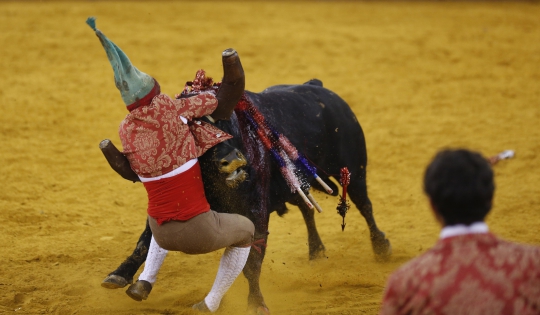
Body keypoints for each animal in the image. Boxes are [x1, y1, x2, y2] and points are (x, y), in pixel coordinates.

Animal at [99, 79, 390, 314]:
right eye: (190, 134)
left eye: (225, 123)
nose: (233, 161)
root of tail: (319, 88)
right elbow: (144, 241)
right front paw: (119, 275)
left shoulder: (256, 216)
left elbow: (252, 263)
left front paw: (256, 303)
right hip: (298, 184)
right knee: (307, 210)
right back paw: (316, 251)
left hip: (354, 170)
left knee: (365, 206)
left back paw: (381, 247)